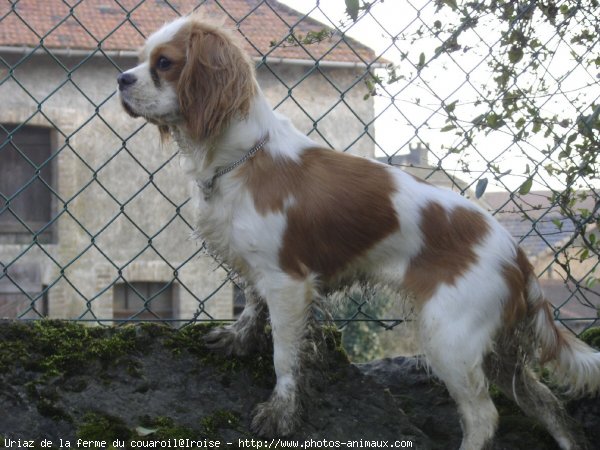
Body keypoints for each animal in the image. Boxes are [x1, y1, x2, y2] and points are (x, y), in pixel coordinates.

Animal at [118, 14, 600, 450]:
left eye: (164, 63)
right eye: (140, 60)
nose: (121, 78)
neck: (242, 156)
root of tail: (517, 256)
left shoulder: (288, 282)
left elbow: (284, 356)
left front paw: (280, 413)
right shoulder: (258, 268)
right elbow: (252, 307)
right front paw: (237, 339)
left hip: (449, 337)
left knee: (484, 417)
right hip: (493, 349)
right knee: (544, 402)